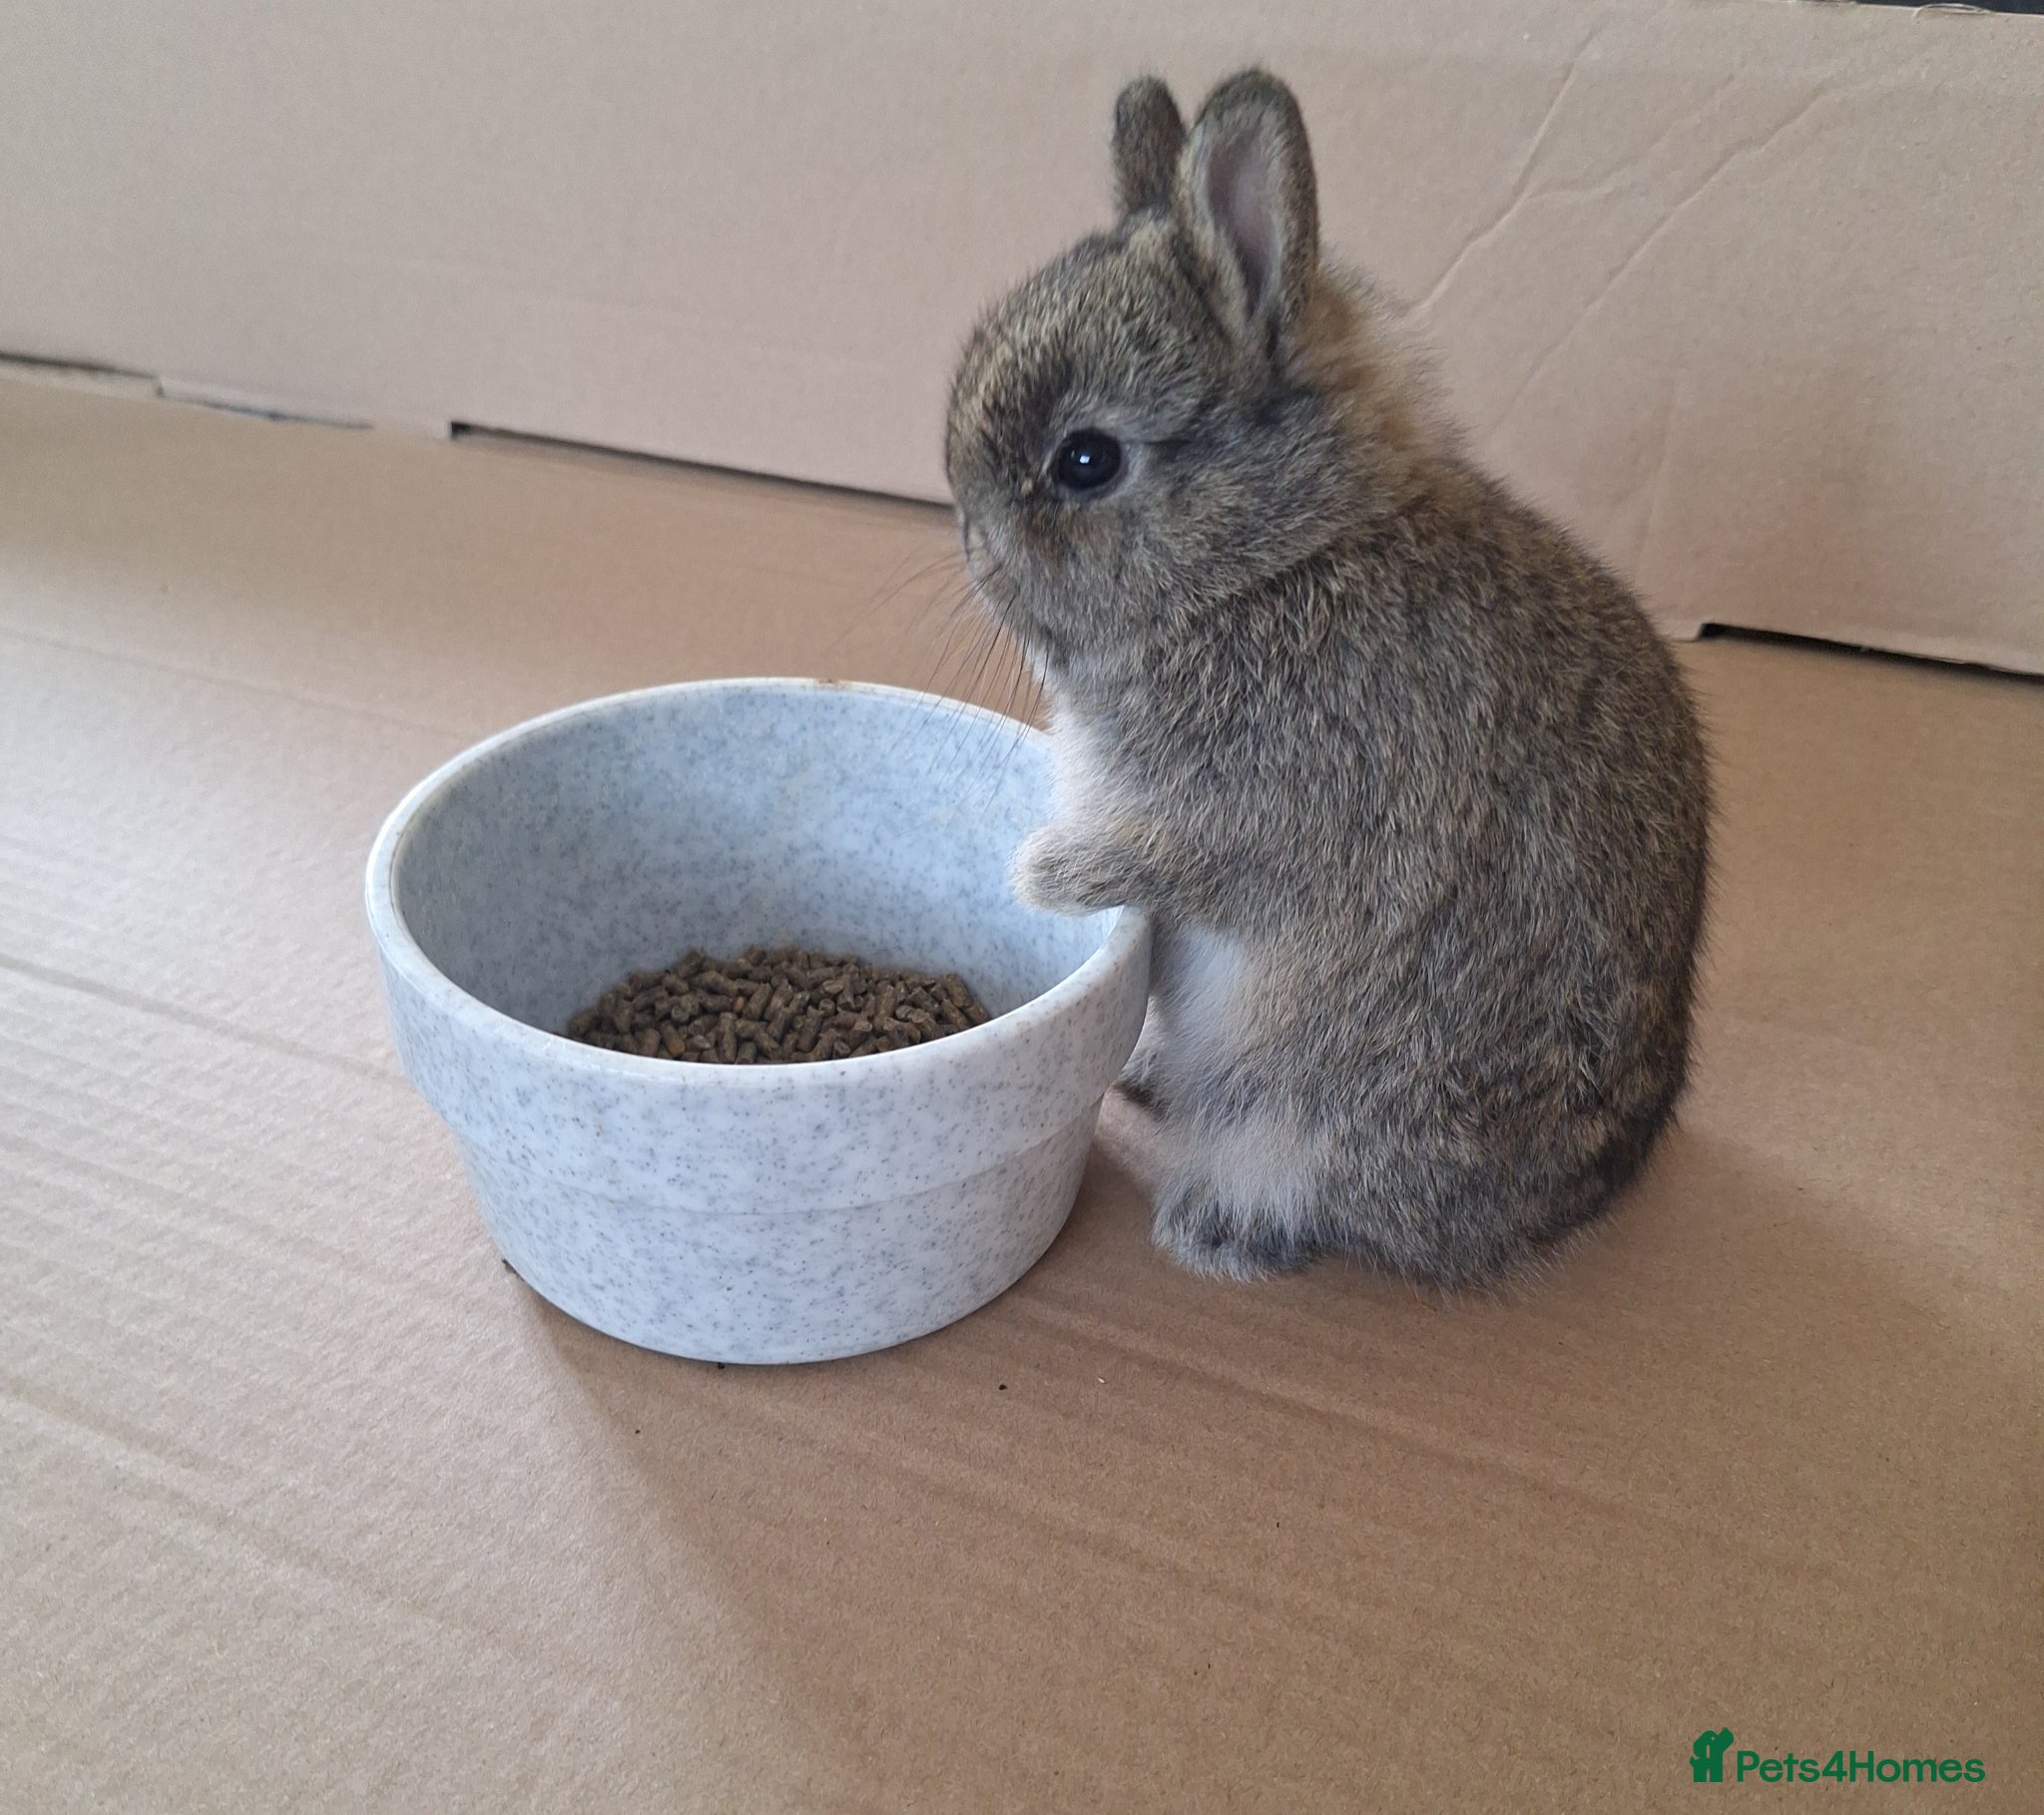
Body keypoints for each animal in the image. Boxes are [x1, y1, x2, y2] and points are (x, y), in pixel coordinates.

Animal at [944, 70, 1711, 1287]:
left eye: (1085, 460)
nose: (971, 545)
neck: (1269, 562)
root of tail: (1571, 1205)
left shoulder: (1283, 815)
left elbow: (1178, 856)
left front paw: (1042, 871)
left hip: (1325, 1110)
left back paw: (1212, 1226)